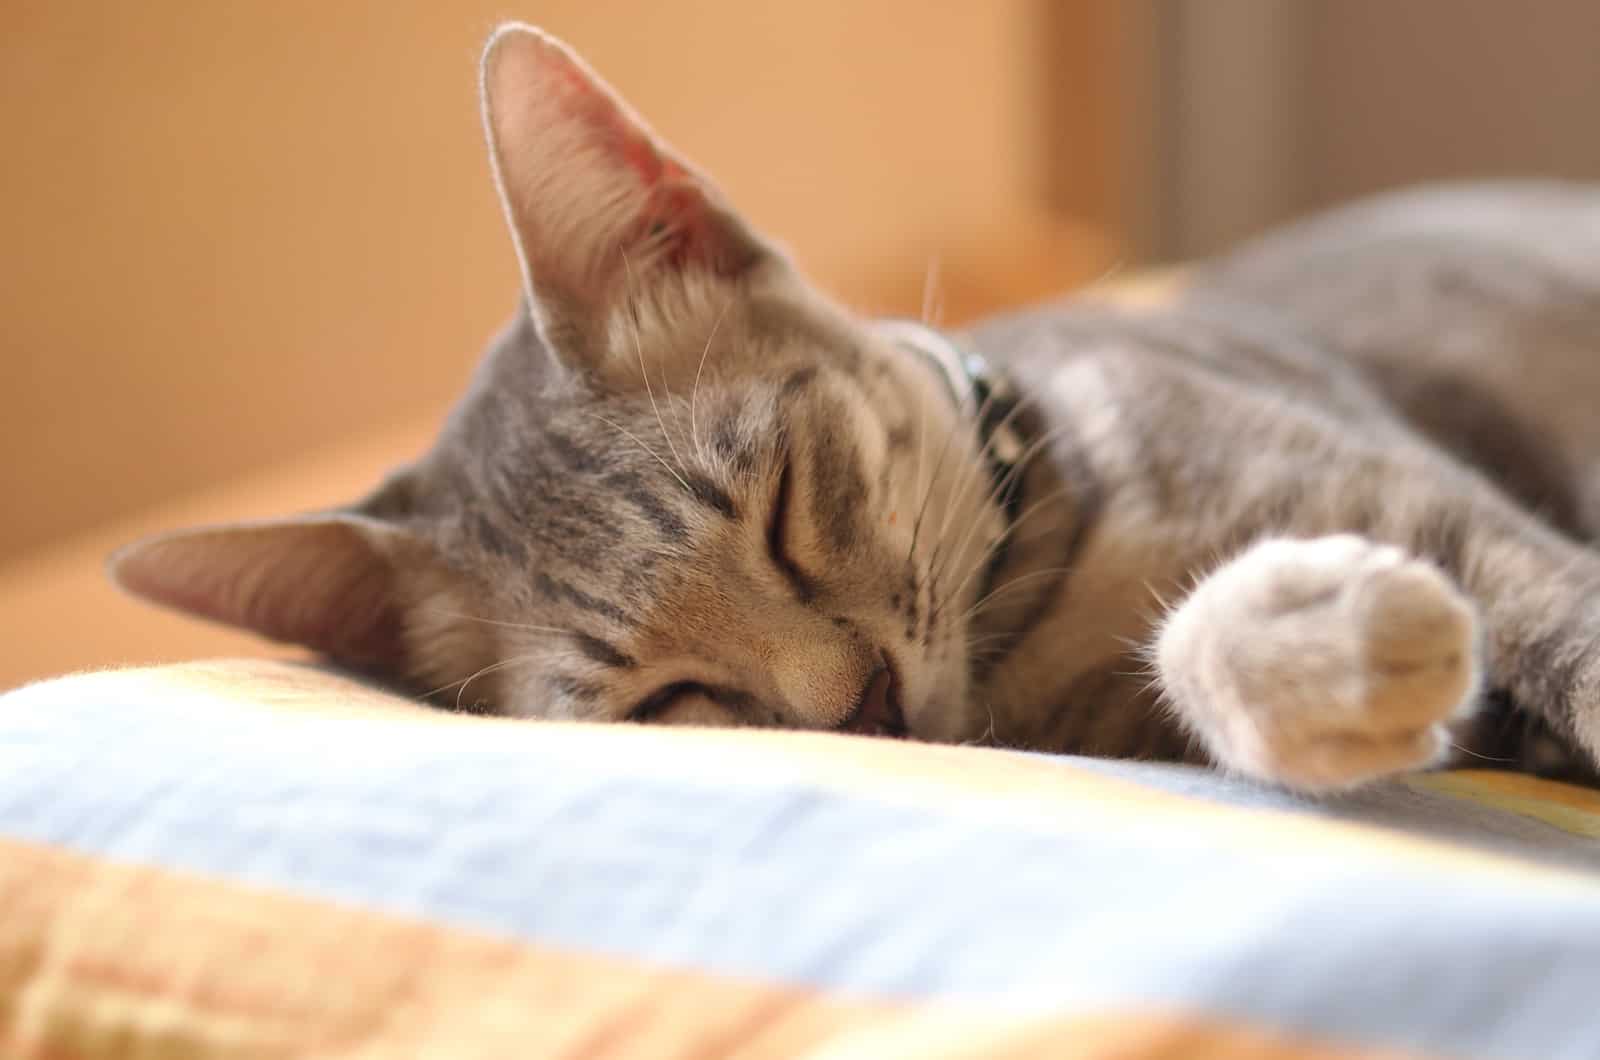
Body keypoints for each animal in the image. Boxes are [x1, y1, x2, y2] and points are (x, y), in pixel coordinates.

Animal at [109, 22, 1600, 797]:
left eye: (777, 504)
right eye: (662, 696)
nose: (866, 700)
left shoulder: (1409, 488)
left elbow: (1565, 619)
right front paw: (1312, 645)